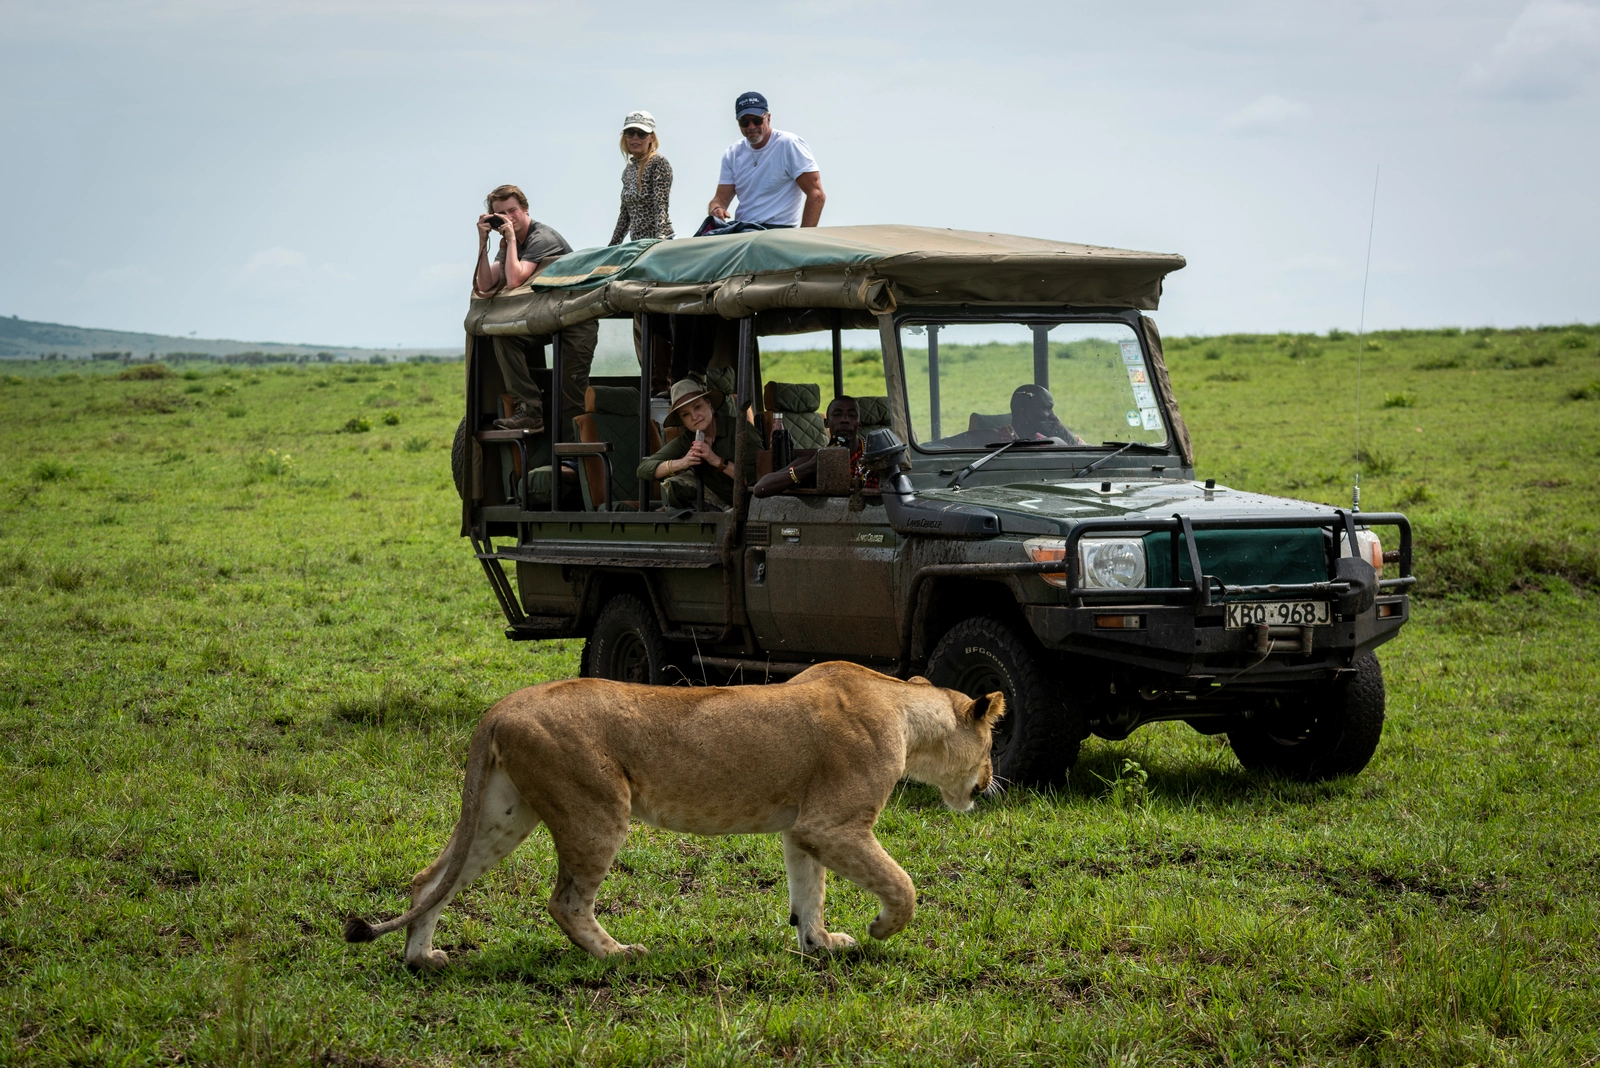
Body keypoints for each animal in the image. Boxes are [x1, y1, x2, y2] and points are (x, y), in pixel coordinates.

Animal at [342, 661, 1004, 966]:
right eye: (993, 742)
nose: (991, 780)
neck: (905, 710)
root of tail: (500, 708)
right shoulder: (834, 824)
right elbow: (902, 883)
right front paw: (879, 930)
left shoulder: (803, 829)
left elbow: (808, 892)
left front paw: (818, 943)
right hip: (597, 810)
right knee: (565, 902)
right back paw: (618, 955)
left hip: (503, 815)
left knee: (430, 880)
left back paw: (421, 959)